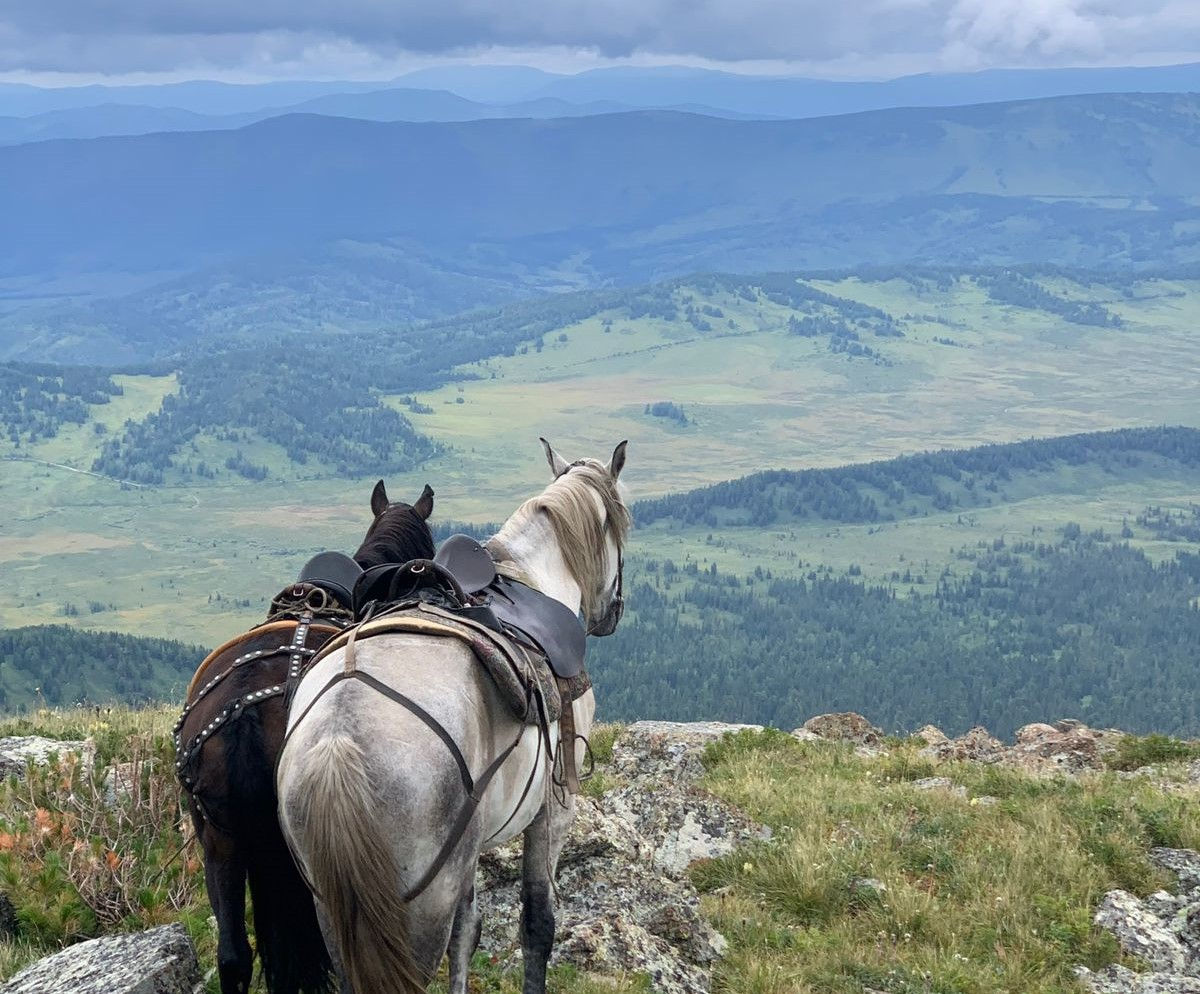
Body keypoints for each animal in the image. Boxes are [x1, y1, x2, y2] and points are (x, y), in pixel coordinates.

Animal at [277, 441, 633, 994]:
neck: (534, 578)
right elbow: (537, 923)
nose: (613, 613)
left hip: (333, 908)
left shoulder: (469, 857)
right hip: (419, 906)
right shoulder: (554, 808)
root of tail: (339, 741)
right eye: (622, 526)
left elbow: (468, 933)